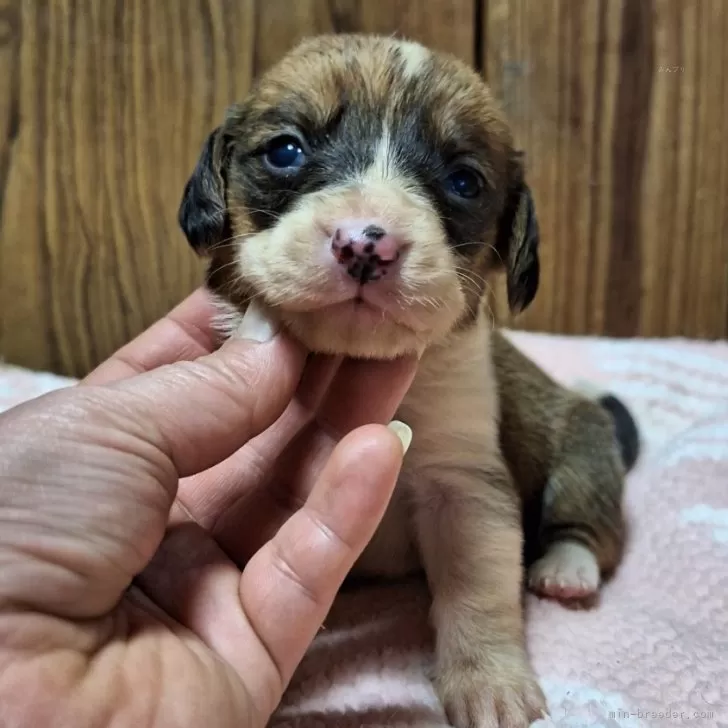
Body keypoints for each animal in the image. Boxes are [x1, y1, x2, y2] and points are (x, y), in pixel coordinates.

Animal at [175, 34, 636, 728]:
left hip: (583, 451)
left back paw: (564, 568)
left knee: (588, 527)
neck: (349, 361)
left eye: (465, 181)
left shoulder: (462, 484)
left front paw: (489, 683)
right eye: (285, 150)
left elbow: (477, 591)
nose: (367, 245)